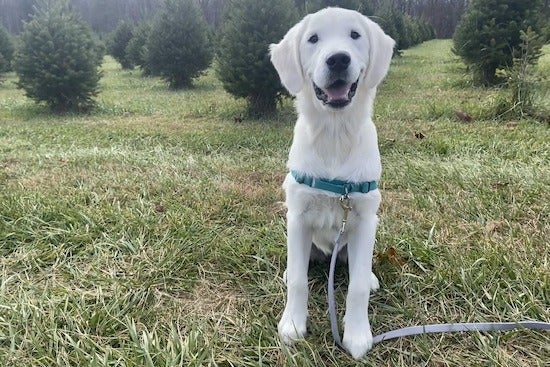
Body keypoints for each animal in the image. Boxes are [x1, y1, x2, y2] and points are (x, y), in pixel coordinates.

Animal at [272, 7, 396, 360]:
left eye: (355, 35)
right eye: (313, 39)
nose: (338, 59)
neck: (334, 135)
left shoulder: (365, 217)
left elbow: (356, 287)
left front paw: (357, 334)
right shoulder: (298, 216)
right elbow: (299, 281)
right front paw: (292, 324)